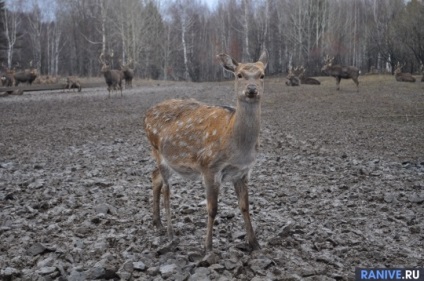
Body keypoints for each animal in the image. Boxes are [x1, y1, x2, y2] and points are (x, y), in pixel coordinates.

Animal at [144, 49, 266, 250]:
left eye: (262, 75)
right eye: (239, 74)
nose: (252, 89)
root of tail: (145, 114)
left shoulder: (243, 172)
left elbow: (244, 206)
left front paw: (254, 243)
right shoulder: (209, 166)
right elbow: (212, 209)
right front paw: (208, 246)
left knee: (155, 177)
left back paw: (158, 224)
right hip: (157, 151)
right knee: (167, 190)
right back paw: (170, 232)